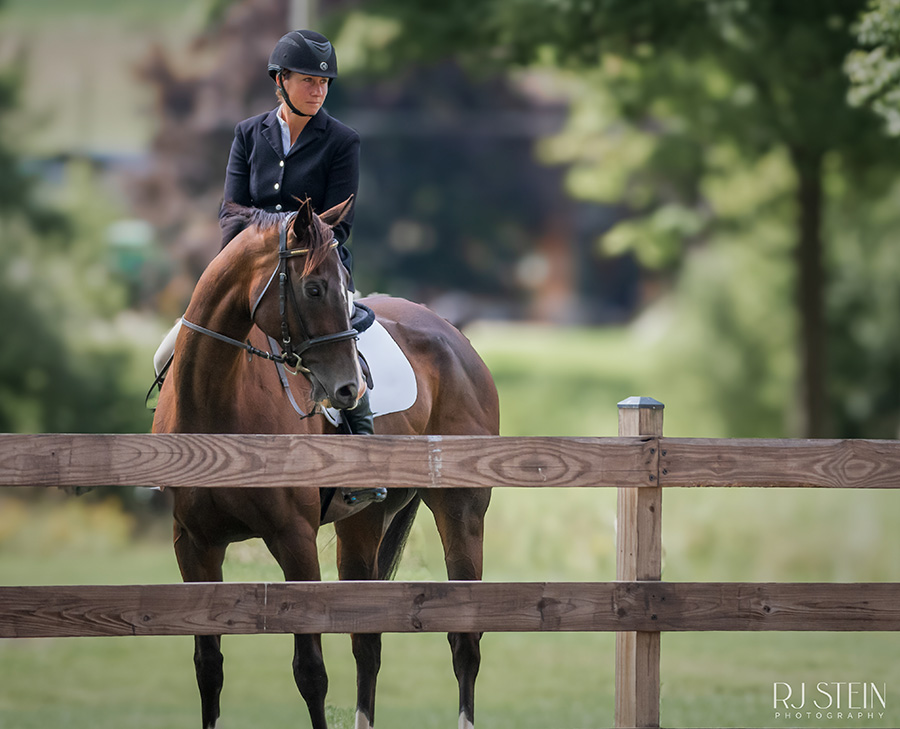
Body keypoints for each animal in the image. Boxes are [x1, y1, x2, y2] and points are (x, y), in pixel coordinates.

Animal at [153, 195, 500, 728]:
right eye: (313, 288)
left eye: (341, 285)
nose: (348, 388)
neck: (215, 401)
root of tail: (455, 336)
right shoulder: (194, 544)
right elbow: (208, 667)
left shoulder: (293, 538)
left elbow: (310, 671)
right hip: (365, 519)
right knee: (368, 642)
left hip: (460, 509)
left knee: (465, 640)